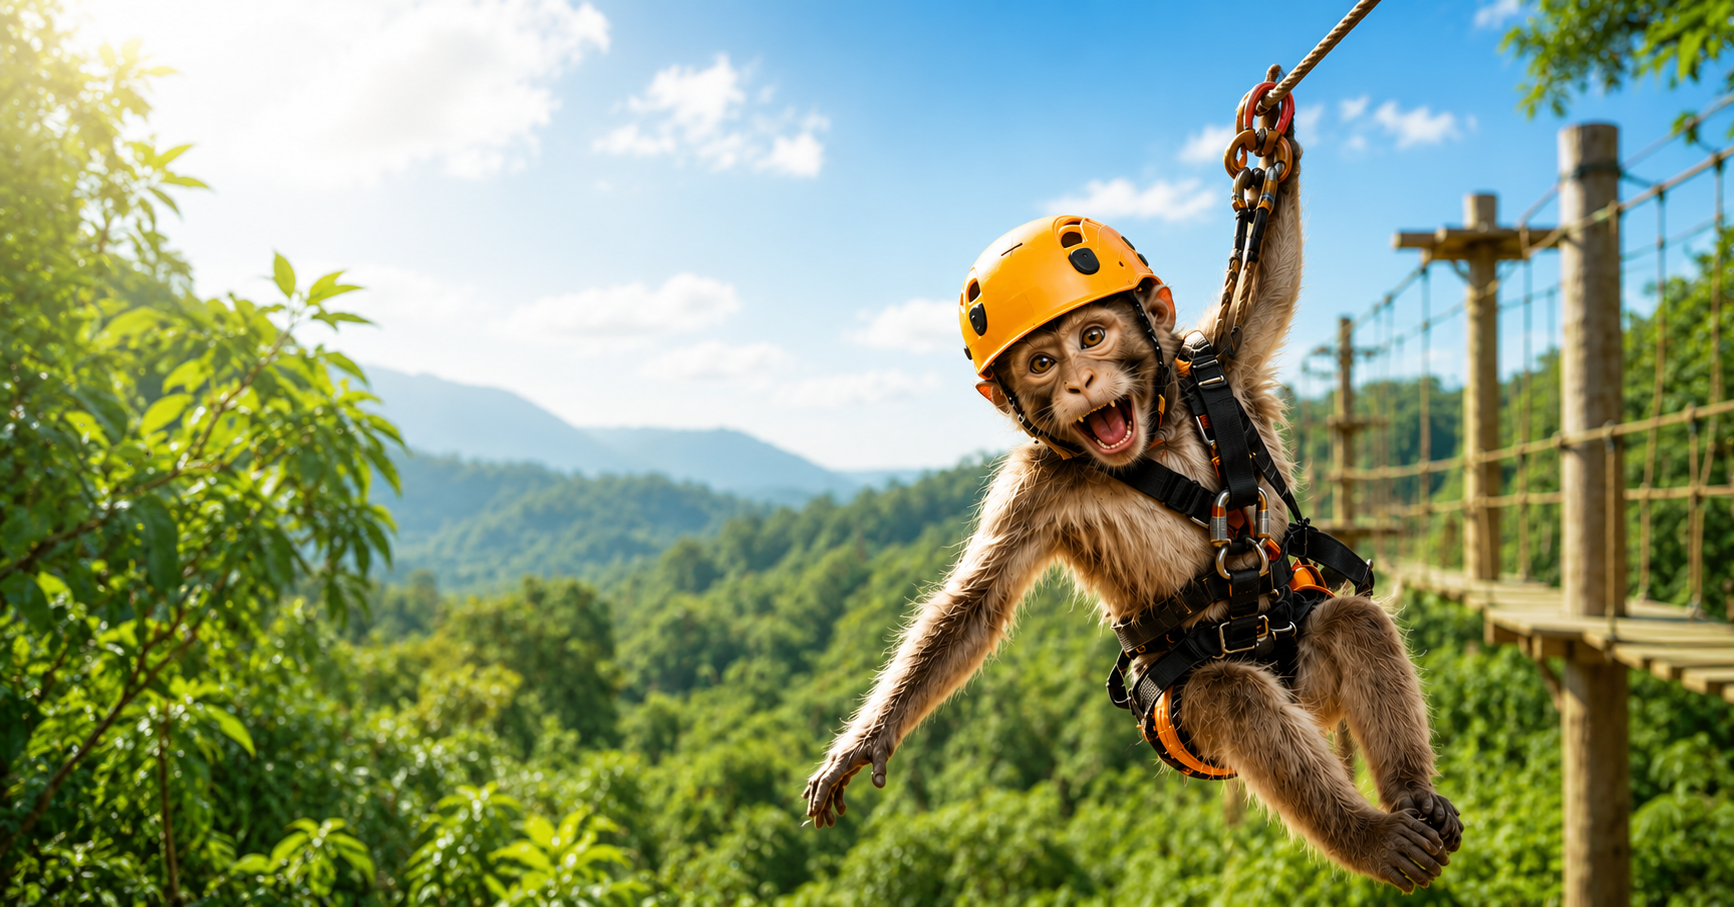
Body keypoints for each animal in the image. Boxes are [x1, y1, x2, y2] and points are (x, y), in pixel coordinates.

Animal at [803, 134, 1463, 893]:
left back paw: (1412, 800)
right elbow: (977, 605)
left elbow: (1268, 291)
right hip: (1186, 719)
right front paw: (866, 741)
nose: (1080, 382)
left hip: (1300, 655)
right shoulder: (1032, 490)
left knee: (1353, 622)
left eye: (1092, 336)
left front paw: (1277, 156)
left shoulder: (1221, 361)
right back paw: (1375, 838)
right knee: (1236, 698)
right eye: (1041, 362)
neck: (1153, 440)